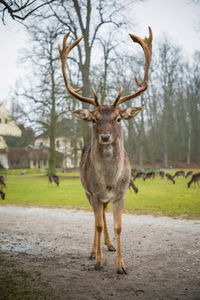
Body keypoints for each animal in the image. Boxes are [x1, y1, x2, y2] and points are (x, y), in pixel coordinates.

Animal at [58, 27, 152, 274]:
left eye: (118, 118)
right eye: (94, 119)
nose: (105, 136)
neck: (109, 180)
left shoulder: (121, 193)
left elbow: (118, 226)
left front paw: (121, 265)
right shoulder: (93, 193)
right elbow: (98, 224)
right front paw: (98, 262)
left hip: (105, 198)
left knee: (104, 216)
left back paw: (109, 245)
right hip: (87, 192)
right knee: (96, 218)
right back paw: (94, 251)